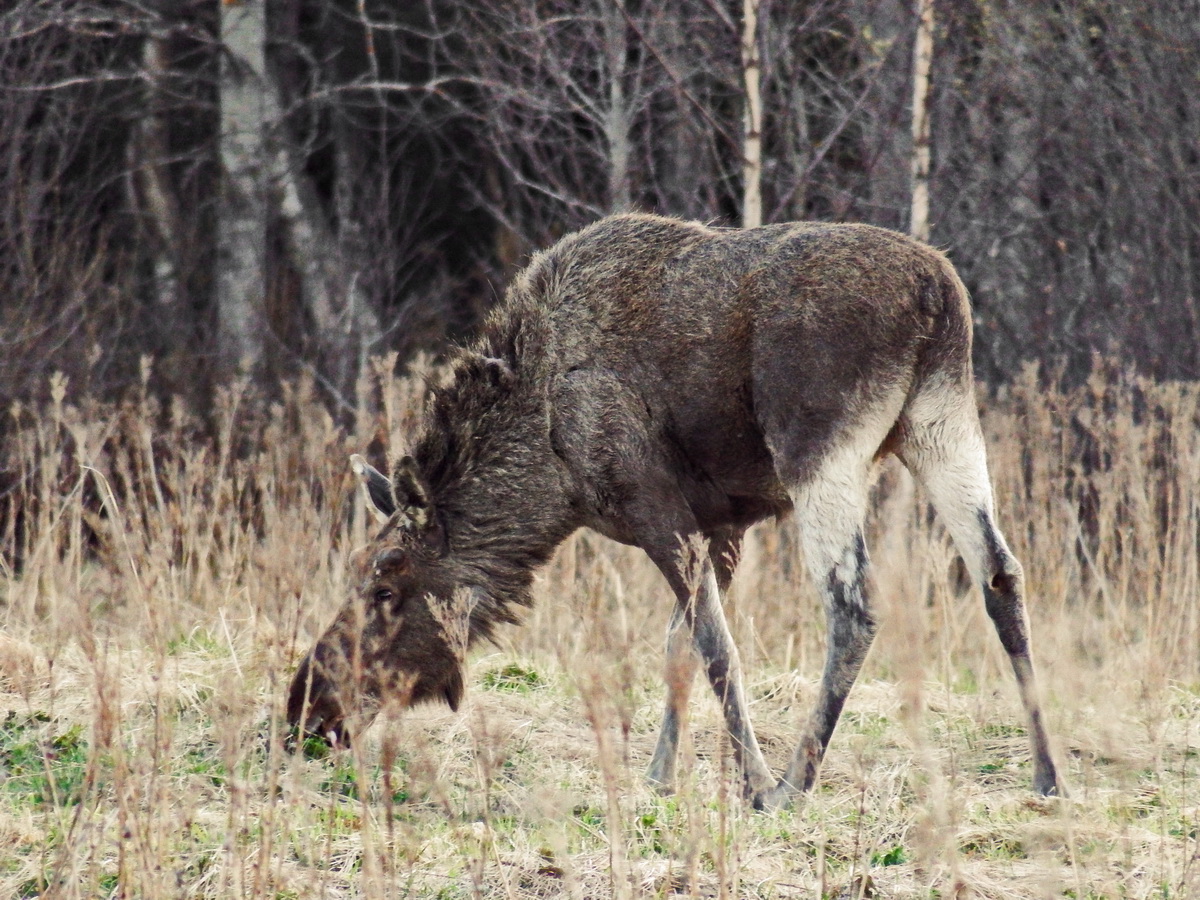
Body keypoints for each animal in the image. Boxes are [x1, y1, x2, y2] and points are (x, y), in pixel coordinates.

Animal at [288, 213, 1060, 811]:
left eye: (386, 581)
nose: (306, 707)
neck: (549, 474)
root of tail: (937, 295)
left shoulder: (656, 506)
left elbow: (717, 648)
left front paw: (751, 783)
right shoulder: (722, 521)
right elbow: (678, 645)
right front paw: (659, 777)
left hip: (820, 446)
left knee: (854, 605)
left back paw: (794, 784)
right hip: (942, 422)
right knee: (1001, 573)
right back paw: (1048, 776)